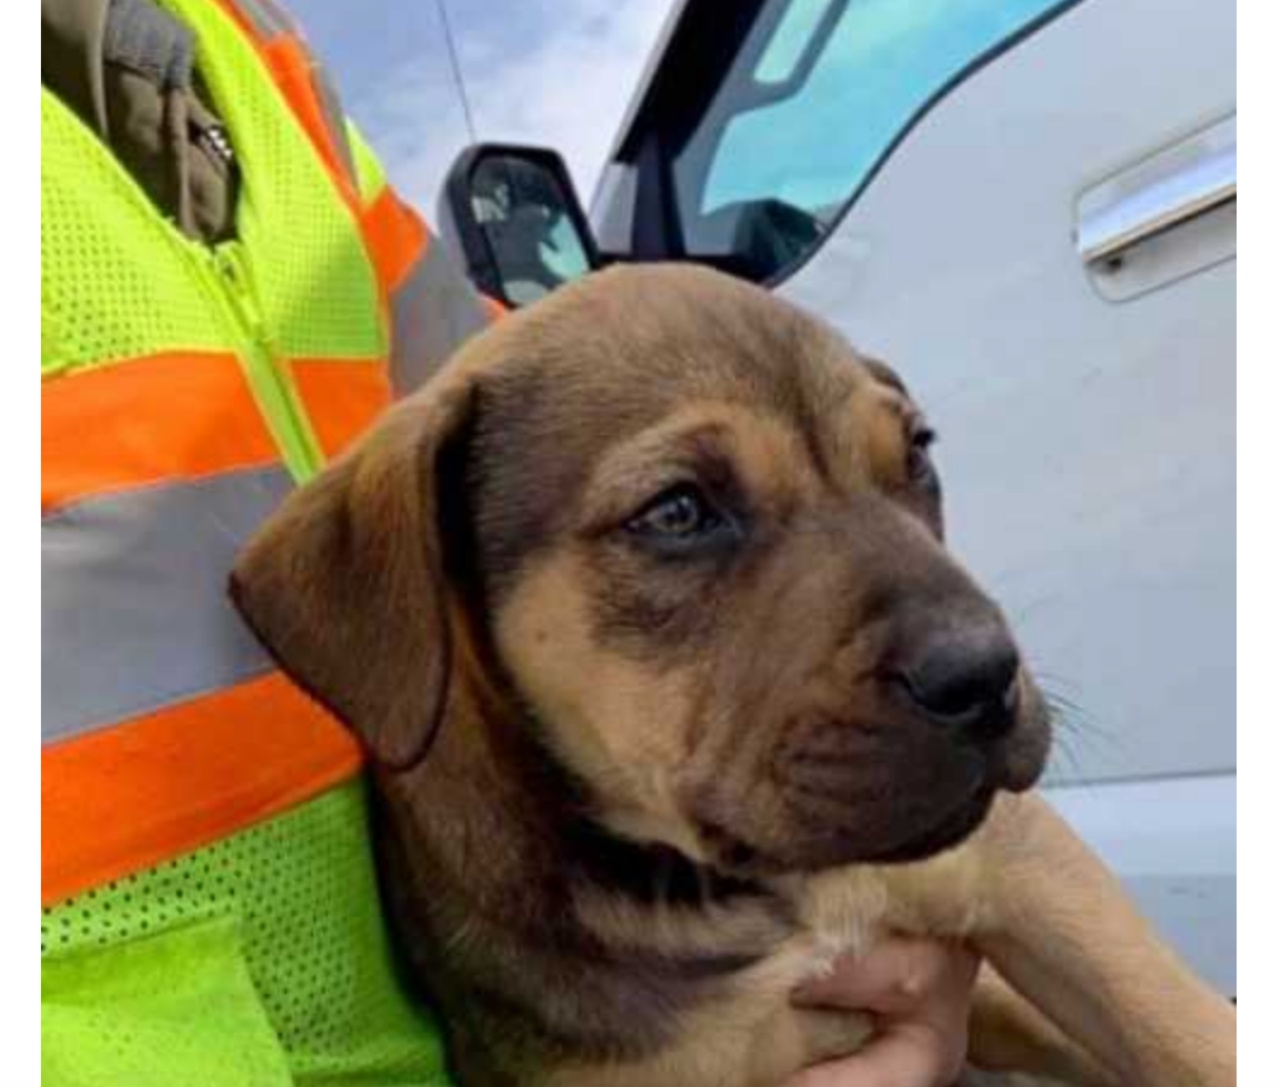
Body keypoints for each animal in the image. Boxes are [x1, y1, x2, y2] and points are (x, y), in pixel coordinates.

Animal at [232, 265, 1239, 1085]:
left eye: (916, 455)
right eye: (678, 511)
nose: (985, 677)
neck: (745, 889)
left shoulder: (1030, 875)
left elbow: (1189, 1033)